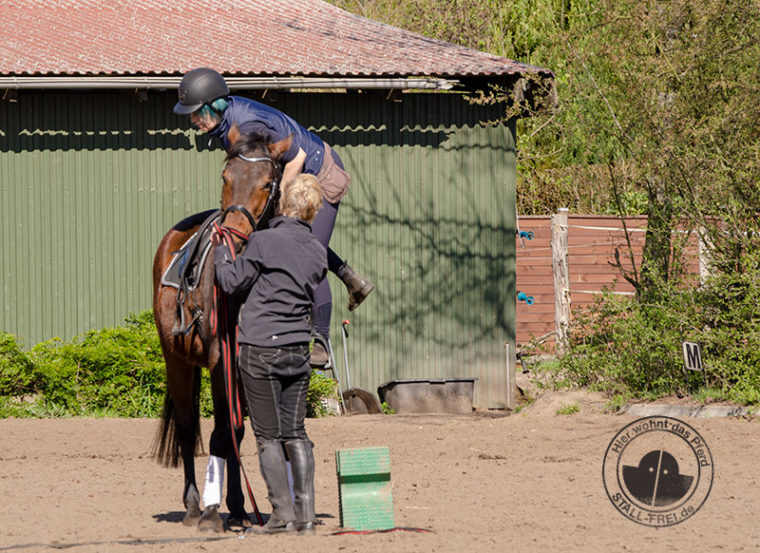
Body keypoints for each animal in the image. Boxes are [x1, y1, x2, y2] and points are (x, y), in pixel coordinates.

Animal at [150, 125, 290, 532]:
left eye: (266, 183)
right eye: (226, 177)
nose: (233, 234)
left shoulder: (246, 364)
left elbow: (237, 431)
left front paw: (239, 507)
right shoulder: (219, 361)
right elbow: (220, 431)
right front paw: (213, 513)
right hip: (176, 360)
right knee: (186, 427)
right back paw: (194, 506)